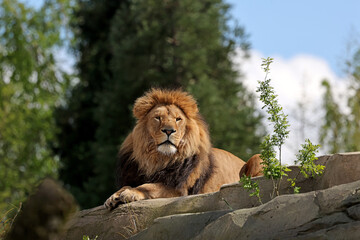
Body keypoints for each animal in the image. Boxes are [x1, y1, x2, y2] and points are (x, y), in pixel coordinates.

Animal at [104, 87, 262, 208]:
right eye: (157, 118)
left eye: (178, 119)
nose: (169, 131)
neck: (158, 159)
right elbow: (127, 185)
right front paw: (113, 196)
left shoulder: (179, 190)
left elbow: (149, 186)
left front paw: (131, 193)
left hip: (257, 157)